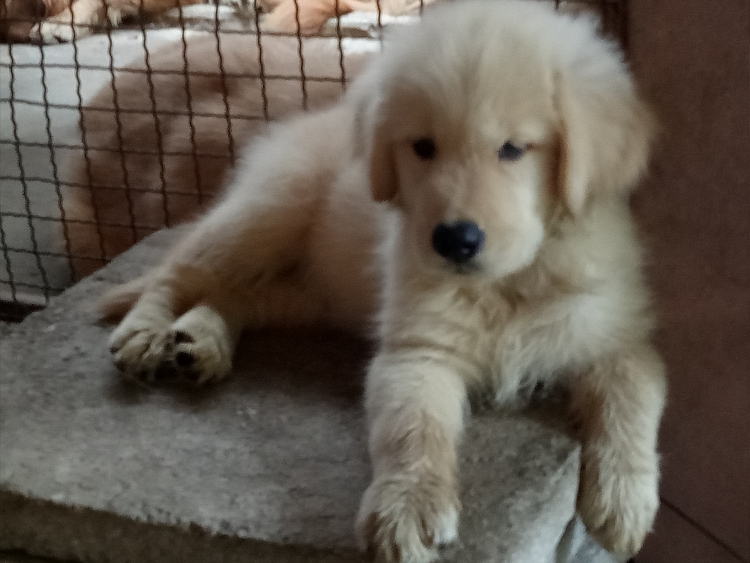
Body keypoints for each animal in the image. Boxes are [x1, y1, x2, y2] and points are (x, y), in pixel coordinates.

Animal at [100, 1, 665, 560]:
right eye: (423, 147)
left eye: (514, 148)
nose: (454, 240)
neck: (510, 283)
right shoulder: (417, 350)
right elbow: (412, 429)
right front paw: (407, 508)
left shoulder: (615, 334)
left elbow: (631, 395)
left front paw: (624, 502)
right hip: (268, 212)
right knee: (181, 269)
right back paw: (147, 333)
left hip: (315, 290)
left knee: (240, 292)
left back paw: (201, 339)